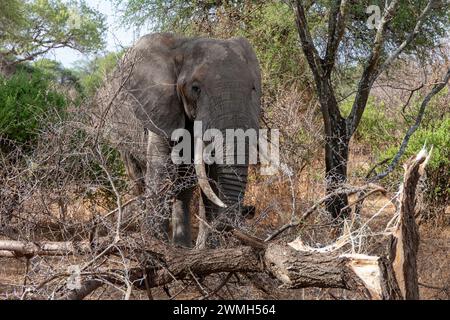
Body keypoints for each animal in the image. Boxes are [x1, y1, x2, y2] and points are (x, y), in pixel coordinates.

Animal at [94, 33, 262, 248]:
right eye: (195, 88)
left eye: (253, 88)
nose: (251, 210)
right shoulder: (159, 106)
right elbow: (163, 169)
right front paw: (156, 244)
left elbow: (211, 175)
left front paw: (207, 250)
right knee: (137, 178)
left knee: (185, 186)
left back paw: (183, 246)